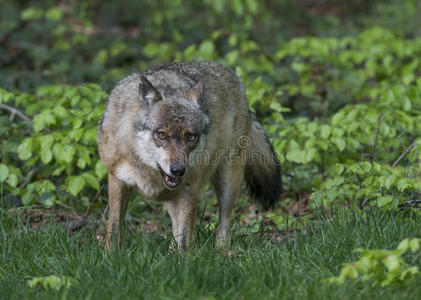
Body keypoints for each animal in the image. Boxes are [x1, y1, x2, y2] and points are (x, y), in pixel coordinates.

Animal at [97, 60, 282, 248]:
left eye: (191, 137)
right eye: (161, 135)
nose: (178, 170)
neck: (148, 172)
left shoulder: (188, 189)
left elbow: (185, 239)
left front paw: (183, 256)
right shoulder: (118, 180)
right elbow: (114, 229)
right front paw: (111, 253)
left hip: (227, 182)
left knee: (223, 225)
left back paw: (222, 251)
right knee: (175, 227)